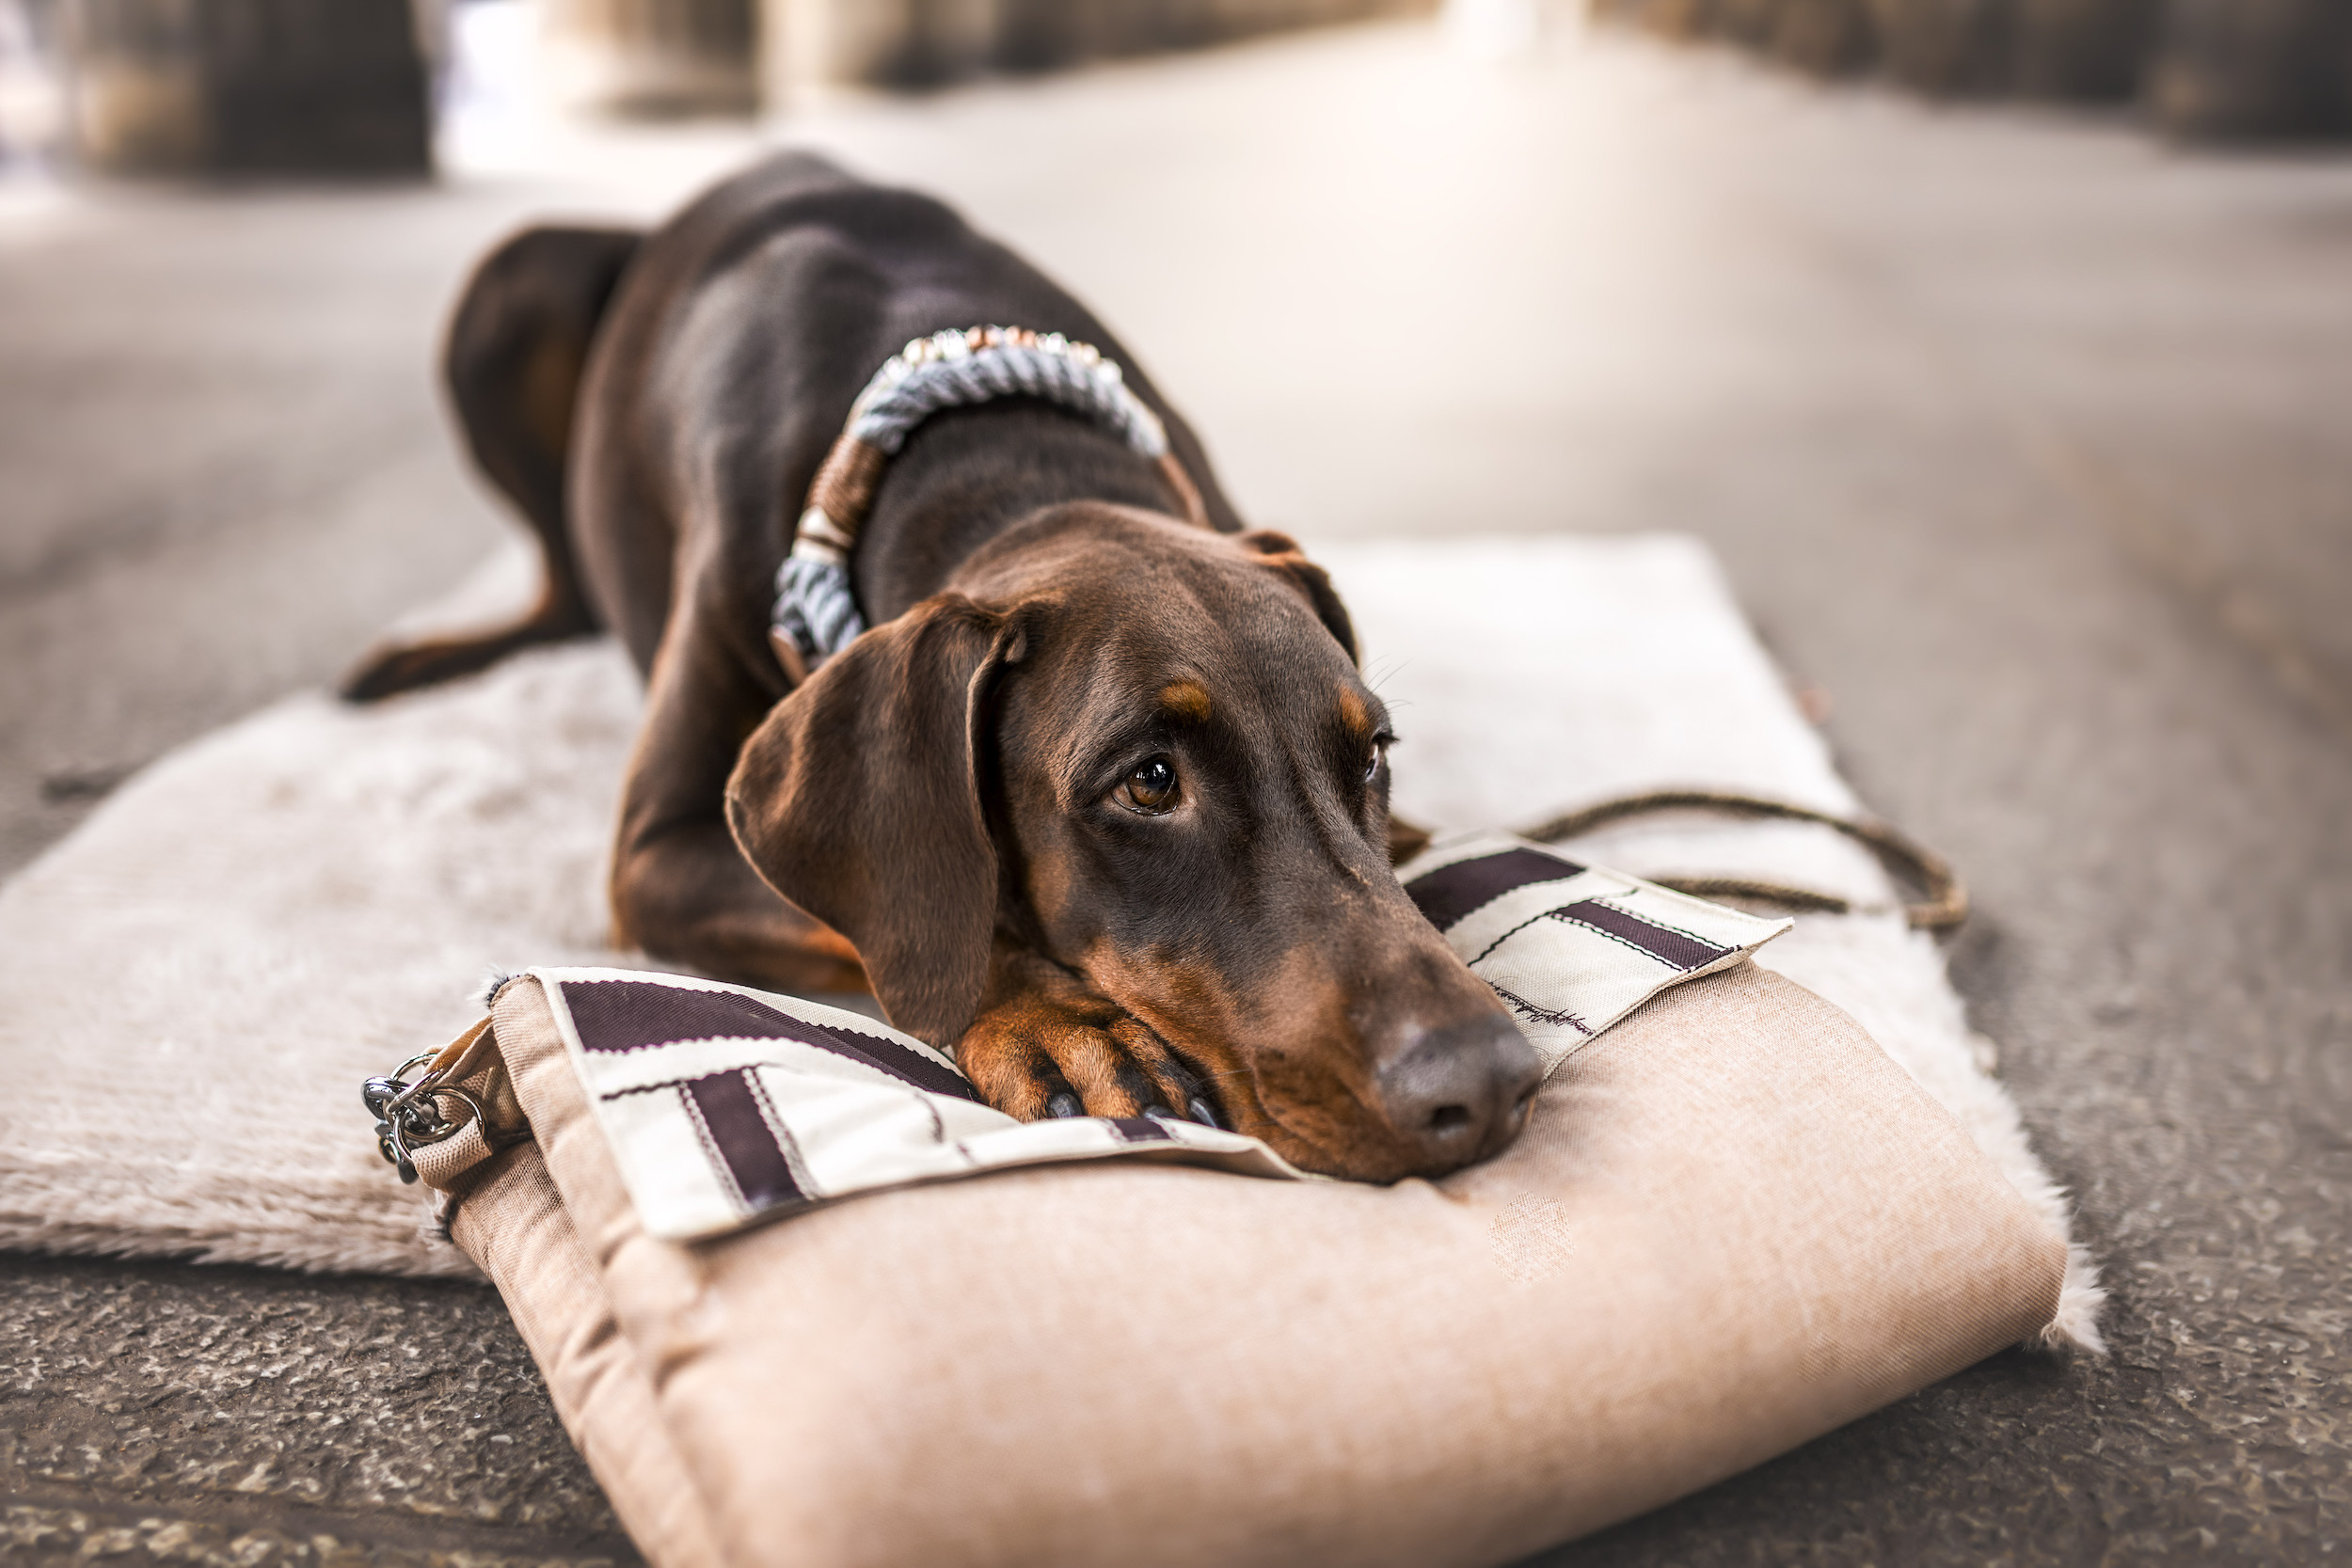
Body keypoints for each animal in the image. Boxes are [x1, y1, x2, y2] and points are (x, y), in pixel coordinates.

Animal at [341, 152, 1534, 1175]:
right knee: (562, 588)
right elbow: (922, 910)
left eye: (1370, 752)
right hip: (511, 283)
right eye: (1150, 780)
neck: (993, 450)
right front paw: (1057, 1020)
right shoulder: (658, 847)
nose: (1486, 1081)